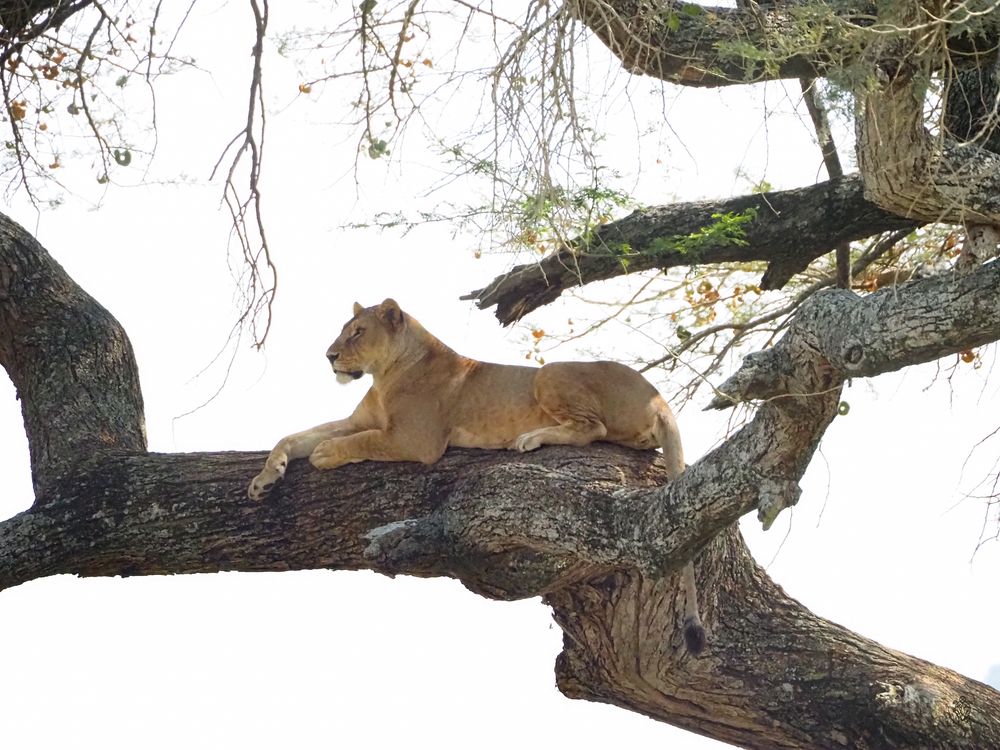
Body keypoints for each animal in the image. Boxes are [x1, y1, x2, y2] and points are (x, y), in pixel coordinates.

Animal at [249, 298, 705, 653]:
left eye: (358, 333)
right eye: (344, 332)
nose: (329, 357)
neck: (384, 376)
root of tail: (660, 398)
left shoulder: (416, 439)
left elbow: (361, 441)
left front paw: (326, 454)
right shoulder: (355, 420)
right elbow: (293, 435)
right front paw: (265, 478)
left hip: (551, 372)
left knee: (592, 428)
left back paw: (529, 439)